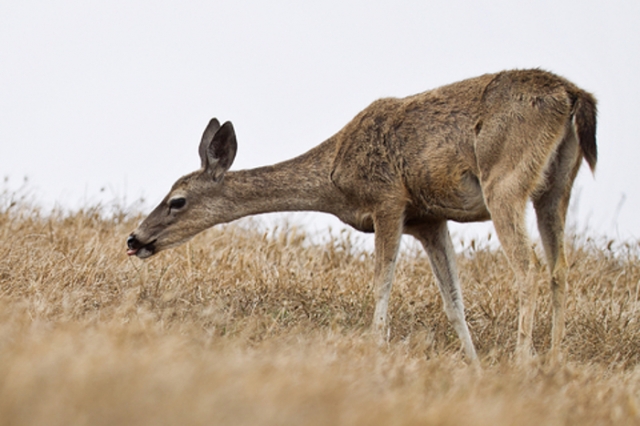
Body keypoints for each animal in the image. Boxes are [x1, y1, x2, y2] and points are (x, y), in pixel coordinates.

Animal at [127, 70, 596, 362]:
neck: (335, 178)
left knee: (527, 265)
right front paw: (475, 368)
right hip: (556, 188)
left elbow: (381, 284)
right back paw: (554, 360)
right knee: (559, 267)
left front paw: (377, 349)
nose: (134, 239)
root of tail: (574, 95)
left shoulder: (388, 200)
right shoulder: (428, 218)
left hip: (505, 182)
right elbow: (454, 301)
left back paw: (523, 360)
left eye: (177, 200)